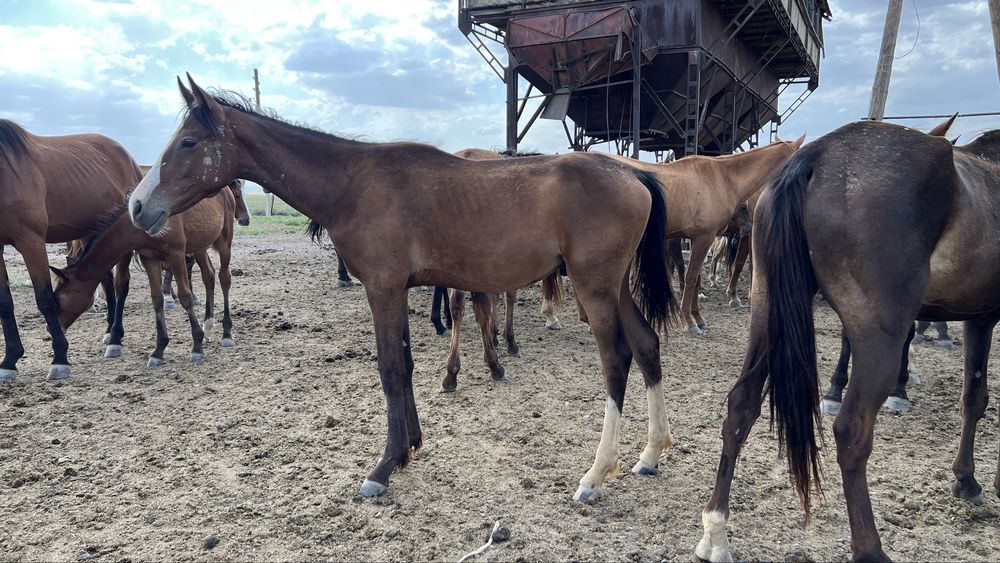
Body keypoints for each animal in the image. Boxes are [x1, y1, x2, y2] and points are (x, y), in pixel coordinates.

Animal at [0, 119, 141, 381]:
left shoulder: (31, 241)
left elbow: (44, 299)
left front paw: (59, 358)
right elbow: (5, 303)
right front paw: (9, 361)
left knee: (120, 285)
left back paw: (115, 338)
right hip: (88, 231)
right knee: (106, 280)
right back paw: (109, 330)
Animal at [54, 187, 236, 365]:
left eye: (61, 299)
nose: (54, 329)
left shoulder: (176, 255)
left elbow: (185, 296)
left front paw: (196, 347)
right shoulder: (149, 258)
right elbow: (157, 299)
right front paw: (159, 350)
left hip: (224, 241)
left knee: (224, 278)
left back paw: (226, 333)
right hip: (200, 245)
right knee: (209, 275)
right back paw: (208, 326)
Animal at [128, 75, 678, 502]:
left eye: (188, 143)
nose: (136, 205)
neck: (353, 184)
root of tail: (633, 175)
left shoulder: (383, 288)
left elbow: (392, 370)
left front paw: (384, 467)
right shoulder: (395, 290)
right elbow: (408, 367)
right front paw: (411, 447)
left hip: (595, 288)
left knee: (617, 361)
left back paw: (595, 474)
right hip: (614, 287)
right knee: (647, 346)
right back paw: (650, 453)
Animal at [611, 136, 803, 335]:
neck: (722, 178)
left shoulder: (700, 238)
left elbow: (696, 278)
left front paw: (698, 317)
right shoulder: (706, 237)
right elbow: (693, 276)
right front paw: (689, 320)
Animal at [698, 120, 1000, 562]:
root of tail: (816, 155)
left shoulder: (979, 318)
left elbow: (973, 399)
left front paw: (967, 480)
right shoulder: (983, 318)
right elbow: (976, 399)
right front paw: (973, 480)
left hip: (766, 309)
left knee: (741, 406)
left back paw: (716, 531)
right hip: (879, 338)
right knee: (851, 432)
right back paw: (870, 549)